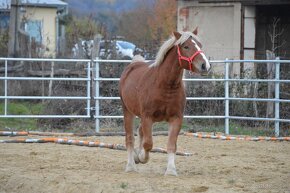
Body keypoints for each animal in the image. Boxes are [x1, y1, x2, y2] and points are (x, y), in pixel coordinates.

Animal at [119, 29, 210, 176]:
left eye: (200, 45)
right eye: (186, 46)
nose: (205, 66)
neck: (165, 85)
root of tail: (132, 66)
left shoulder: (176, 118)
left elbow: (171, 145)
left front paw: (171, 170)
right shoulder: (147, 117)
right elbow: (148, 144)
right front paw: (142, 157)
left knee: (140, 131)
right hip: (128, 111)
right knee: (130, 138)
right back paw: (131, 165)